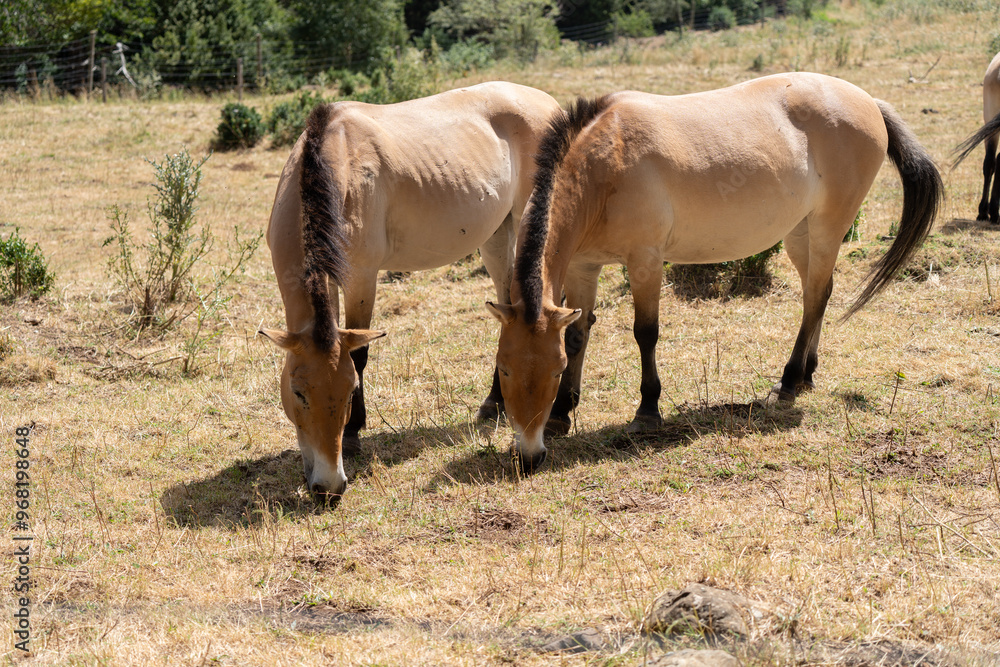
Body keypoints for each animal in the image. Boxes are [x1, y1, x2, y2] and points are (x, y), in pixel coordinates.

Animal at [259, 82, 561, 500]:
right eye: (298, 392)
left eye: (349, 390)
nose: (329, 486)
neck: (333, 164)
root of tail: (548, 101)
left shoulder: (361, 277)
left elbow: (360, 354)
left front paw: (353, 434)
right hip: (498, 235)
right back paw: (495, 402)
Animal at [486, 72, 943, 473]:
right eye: (504, 368)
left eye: (553, 370)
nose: (529, 456)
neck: (604, 165)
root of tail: (868, 101)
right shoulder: (583, 267)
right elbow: (579, 335)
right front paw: (563, 413)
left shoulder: (645, 261)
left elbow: (645, 333)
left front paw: (647, 411)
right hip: (801, 233)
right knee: (821, 292)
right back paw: (808, 374)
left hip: (829, 226)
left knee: (815, 296)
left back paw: (789, 381)